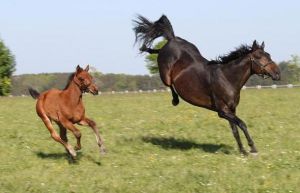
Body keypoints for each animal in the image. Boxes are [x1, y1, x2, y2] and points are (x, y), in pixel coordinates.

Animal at [132, 14, 280, 154]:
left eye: (268, 55)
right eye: (259, 57)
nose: (277, 73)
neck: (227, 78)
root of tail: (172, 39)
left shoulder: (231, 110)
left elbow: (235, 130)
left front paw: (242, 150)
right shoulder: (222, 111)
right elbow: (242, 124)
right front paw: (252, 148)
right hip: (166, 75)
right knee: (169, 84)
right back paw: (174, 99)